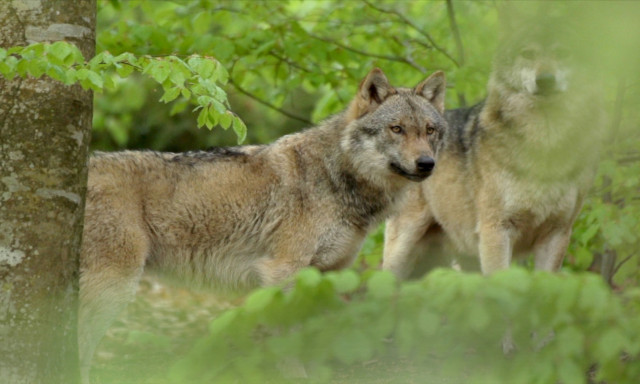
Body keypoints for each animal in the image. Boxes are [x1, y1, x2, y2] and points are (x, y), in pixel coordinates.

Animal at [80, 68, 448, 380]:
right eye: (396, 129)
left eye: (429, 131)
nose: (427, 163)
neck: (337, 177)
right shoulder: (282, 271)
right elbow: (289, 336)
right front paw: (295, 376)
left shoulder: (328, 273)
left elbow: (314, 332)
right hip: (113, 291)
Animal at [382, 22, 608, 278]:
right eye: (528, 53)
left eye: (563, 53)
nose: (545, 80)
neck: (543, 146)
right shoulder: (496, 230)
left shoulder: (557, 234)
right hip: (403, 249)